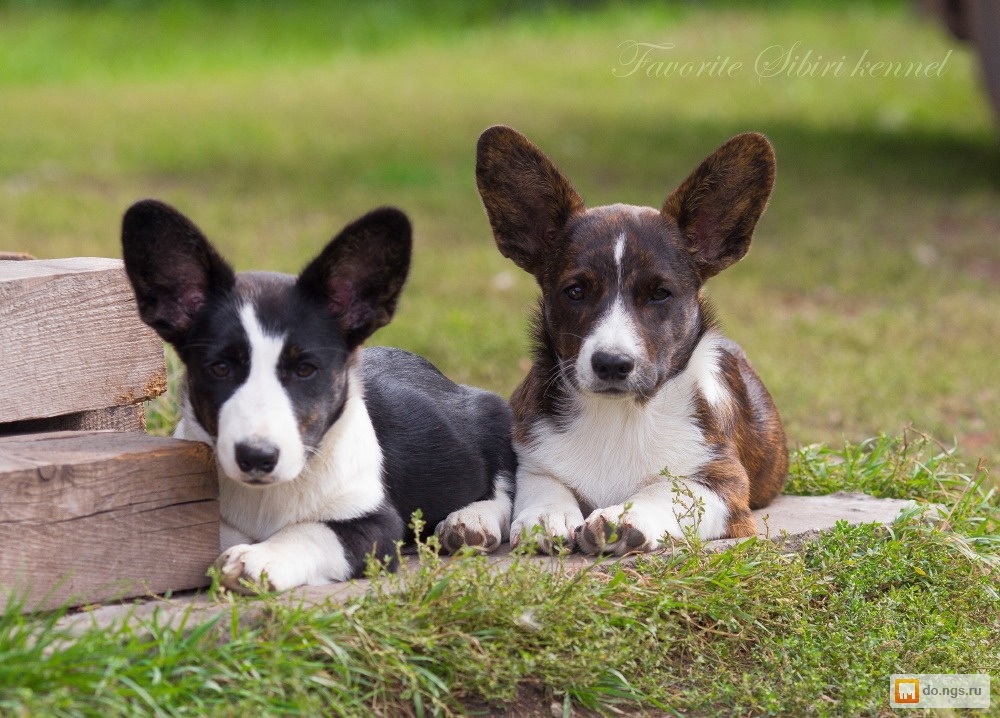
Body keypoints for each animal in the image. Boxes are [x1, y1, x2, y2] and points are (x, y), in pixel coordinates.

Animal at [123, 201, 516, 592]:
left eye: (305, 369)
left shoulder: (374, 525)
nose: (256, 457)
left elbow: (311, 532)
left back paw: (471, 523)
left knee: (505, 483)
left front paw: (256, 559)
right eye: (219, 368)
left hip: (495, 416)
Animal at [472, 128, 784, 556]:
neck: (619, 417)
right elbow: (543, 484)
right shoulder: (531, 459)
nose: (611, 364)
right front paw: (546, 515)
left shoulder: (723, 486)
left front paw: (624, 517)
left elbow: (669, 491)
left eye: (659, 294)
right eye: (575, 291)